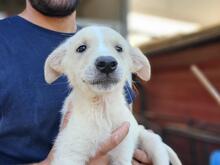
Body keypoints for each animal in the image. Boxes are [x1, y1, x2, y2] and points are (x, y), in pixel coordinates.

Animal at [43, 25, 181, 165]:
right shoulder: (70, 152)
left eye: (119, 48)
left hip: (152, 143)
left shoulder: (122, 153)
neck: (102, 109)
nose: (107, 63)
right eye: (81, 48)